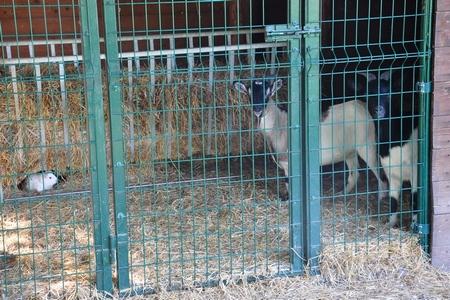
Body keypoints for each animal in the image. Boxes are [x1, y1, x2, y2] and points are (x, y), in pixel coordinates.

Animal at [234, 78, 384, 197]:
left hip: (367, 144)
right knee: (354, 174)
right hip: (349, 151)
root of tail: (361, 105)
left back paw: (381, 196)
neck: (279, 124)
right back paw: (342, 194)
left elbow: (290, 183)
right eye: (249, 93)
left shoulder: (289, 163)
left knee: (378, 171)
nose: (258, 109)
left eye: (268, 93)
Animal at [356, 71, 420, 226]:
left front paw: (414, 225)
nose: (378, 109)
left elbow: (415, 198)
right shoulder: (391, 171)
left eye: (389, 92)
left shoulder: (416, 170)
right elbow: (393, 201)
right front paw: (391, 225)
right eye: (368, 94)